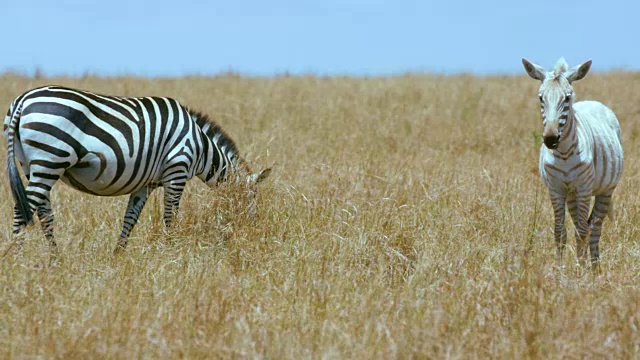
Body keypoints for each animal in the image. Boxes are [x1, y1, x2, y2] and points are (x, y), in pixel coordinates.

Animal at [2, 84, 268, 255]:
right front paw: (170, 250)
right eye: (252, 200)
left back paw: (56, 260)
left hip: (32, 165)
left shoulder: (146, 184)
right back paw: (17, 258)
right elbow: (170, 215)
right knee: (22, 210)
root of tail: (22, 100)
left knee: (44, 214)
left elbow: (130, 218)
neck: (200, 147)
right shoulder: (177, 169)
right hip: (50, 159)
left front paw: (118, 255)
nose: (254, 233)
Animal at [524, 57, 624, 268]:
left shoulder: (584, 188)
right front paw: (561, 268)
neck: (563, 154)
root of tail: (594, 102)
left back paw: (594, 266)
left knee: (594, 227)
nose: (550, 139)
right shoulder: (556, 189)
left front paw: (580, 269)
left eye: (567, 98)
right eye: (541, 98)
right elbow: (560, 232)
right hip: (571, 194)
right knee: (582, 224)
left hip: (605, 190)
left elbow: (583, 231)